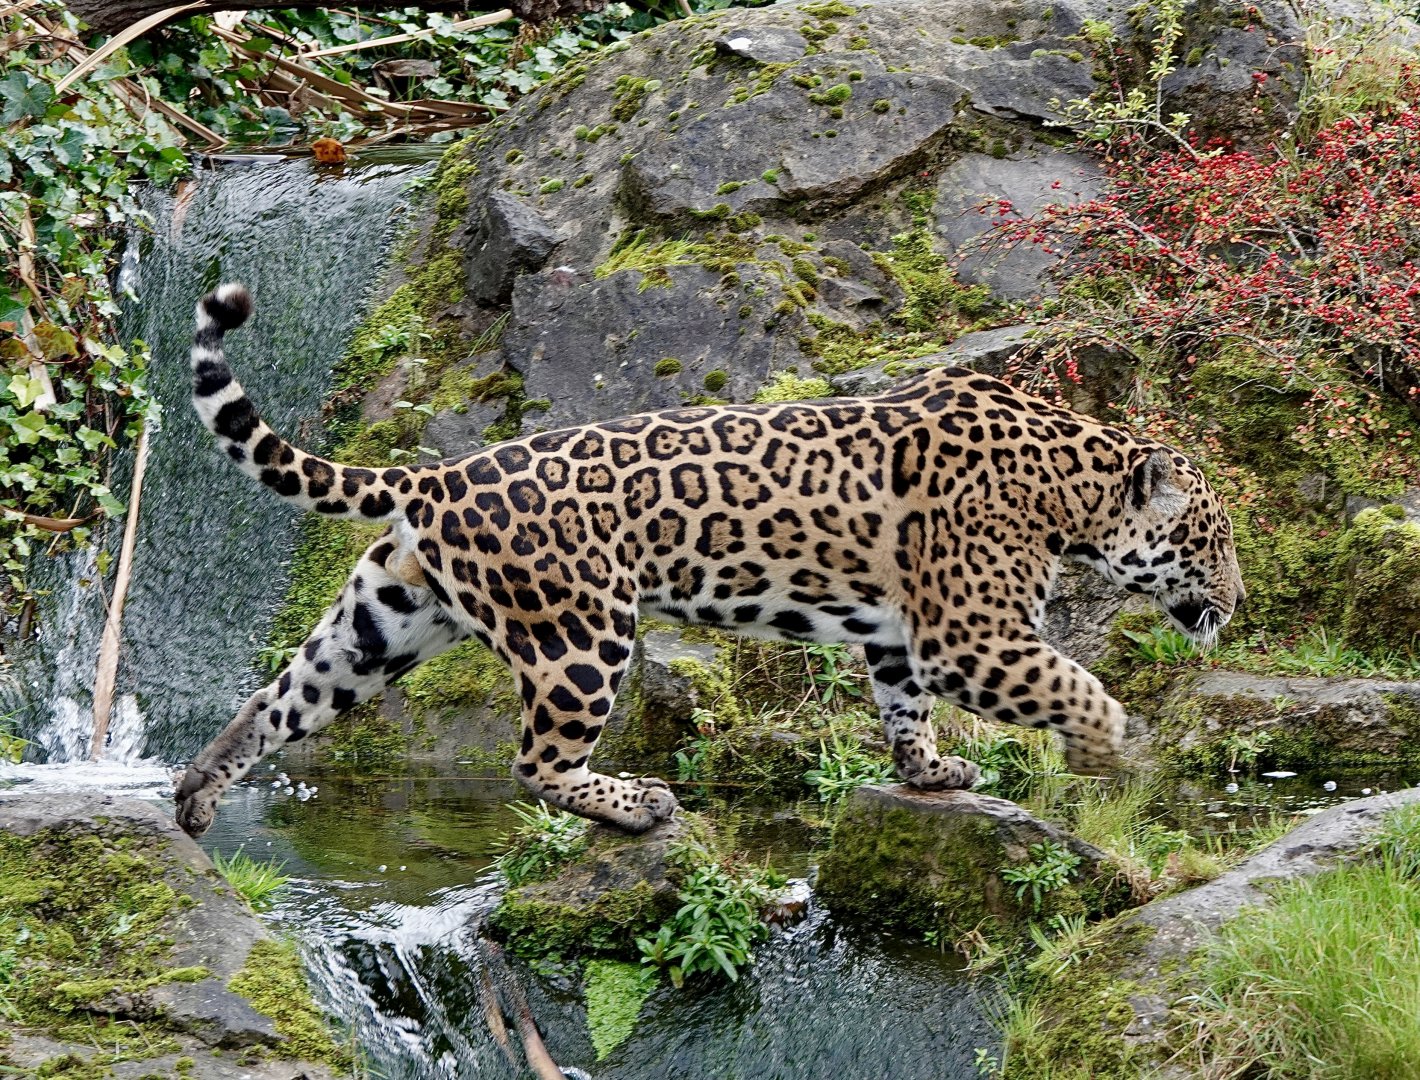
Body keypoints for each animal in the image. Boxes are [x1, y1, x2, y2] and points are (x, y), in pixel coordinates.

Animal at [175, 283, 1244, 838]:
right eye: (1215, 538)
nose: (1236, 600)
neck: (1074, 485)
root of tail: (438, 477)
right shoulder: (970, 637)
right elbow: (1074, 683)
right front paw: (1109, 750)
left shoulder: (902, 637)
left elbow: (903, 709)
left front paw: (933, 771)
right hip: (580, 633)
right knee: (536, 761)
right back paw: (638, 803)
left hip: (385, 622)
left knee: (276, 703)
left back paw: (195, 797)